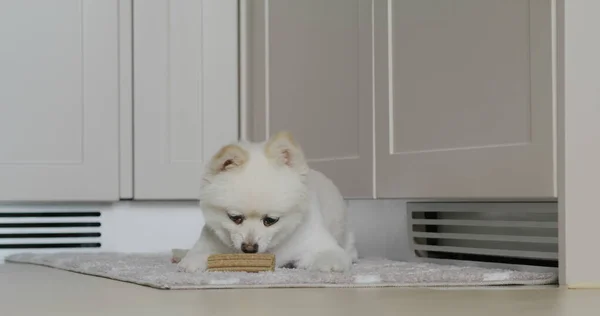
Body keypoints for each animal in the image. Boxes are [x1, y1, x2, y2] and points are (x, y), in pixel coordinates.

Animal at [177, 130, 356, 272]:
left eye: (271, 220)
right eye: (235, 218)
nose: (249, 248)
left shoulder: (315, 240)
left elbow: (329, 253)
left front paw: (328, 265)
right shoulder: (211, 240)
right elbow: (198, 253)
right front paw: (191, 262)